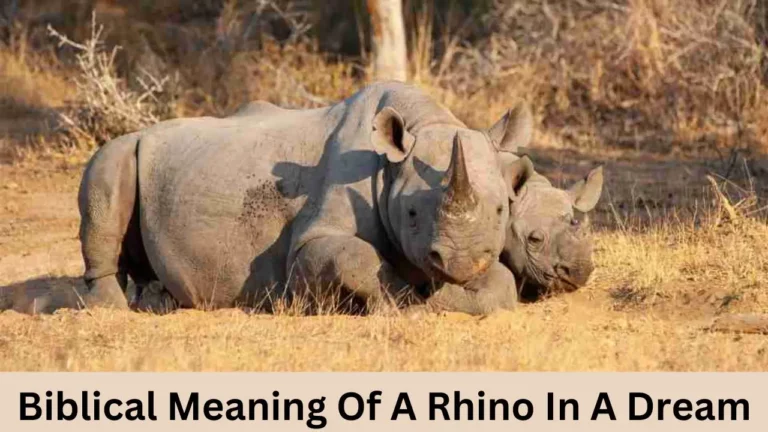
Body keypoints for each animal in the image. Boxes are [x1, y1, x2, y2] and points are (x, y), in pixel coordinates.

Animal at [77, 81, 536, 314]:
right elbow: (354, 258)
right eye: (409, 213)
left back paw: (159, 301)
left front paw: (449, 295)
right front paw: (411, 304)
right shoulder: (309, 243)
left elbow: (502, 283)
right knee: (108, 169)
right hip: (128, 145)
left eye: (501, 209)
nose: (460, 262)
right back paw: (111, 308)